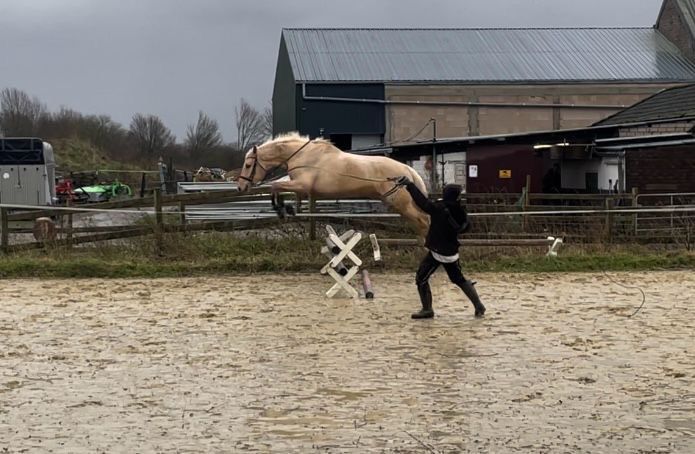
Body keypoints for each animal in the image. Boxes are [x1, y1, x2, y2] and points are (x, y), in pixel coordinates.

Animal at [234, 133, 430, 236]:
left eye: (248, 165)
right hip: (400, 204)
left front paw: (282, 209)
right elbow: (279, 190)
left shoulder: (302, 185)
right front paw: (288, 209)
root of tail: (407, 171)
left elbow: (275, 186)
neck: (302, 155)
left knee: (423, 221)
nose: (241, 187)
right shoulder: (301, 189)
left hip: (400, 203)